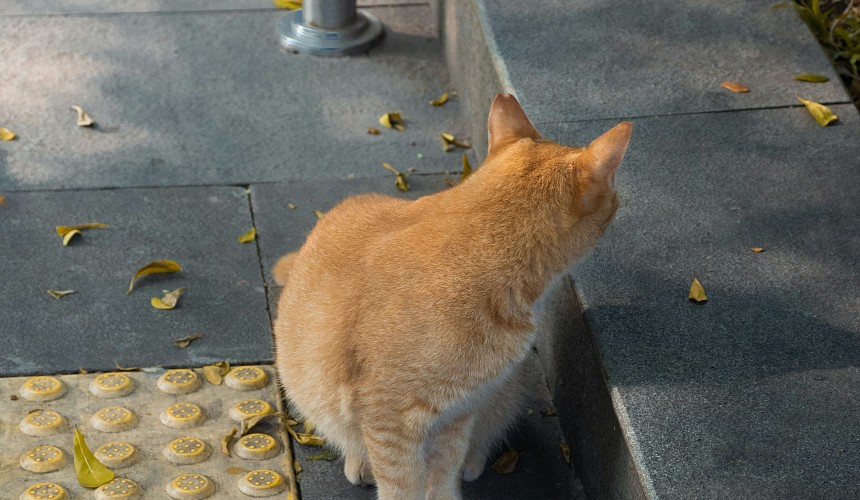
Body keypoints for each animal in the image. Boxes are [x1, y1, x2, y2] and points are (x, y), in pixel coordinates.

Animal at [276, 93, 632, 496]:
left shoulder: (458, 412)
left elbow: (444, 474)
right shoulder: (390, 422)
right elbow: (402, 487)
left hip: (500, 394)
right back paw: (359, 463)